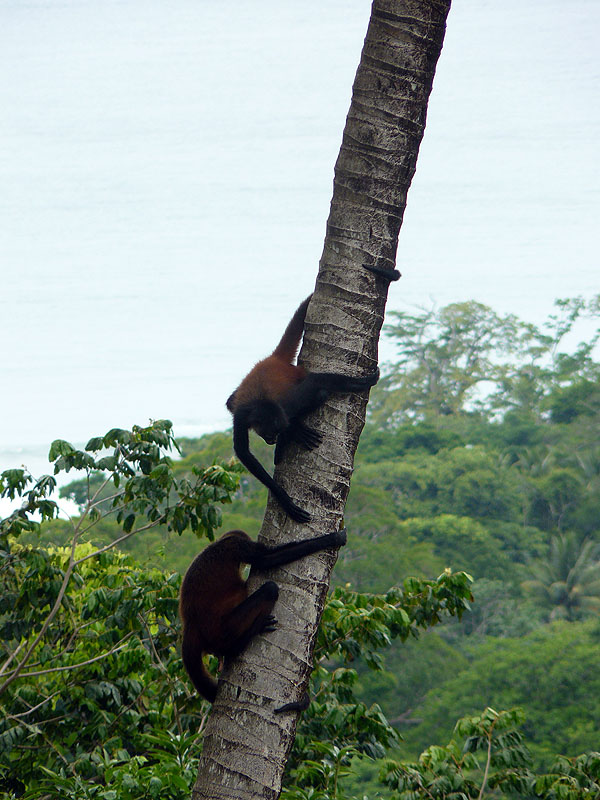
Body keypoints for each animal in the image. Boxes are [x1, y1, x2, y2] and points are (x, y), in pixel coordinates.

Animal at [178, 528, 346, 708]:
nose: (243, 567)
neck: (219, 543)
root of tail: (191, 625)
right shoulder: (239, 546)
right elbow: (266, 560)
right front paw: (332, 539)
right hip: (224, 629)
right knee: (270, 589)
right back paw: (247, 637)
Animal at [226, 294, 380, 524]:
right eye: (268, 434)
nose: (272, 440)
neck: (261, 404)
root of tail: (274, 360)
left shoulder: (285, 406)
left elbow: (316, 382)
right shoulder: (244, 415)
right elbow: (243, 452)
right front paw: (283, 498)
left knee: (319, 392)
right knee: (230, 402)